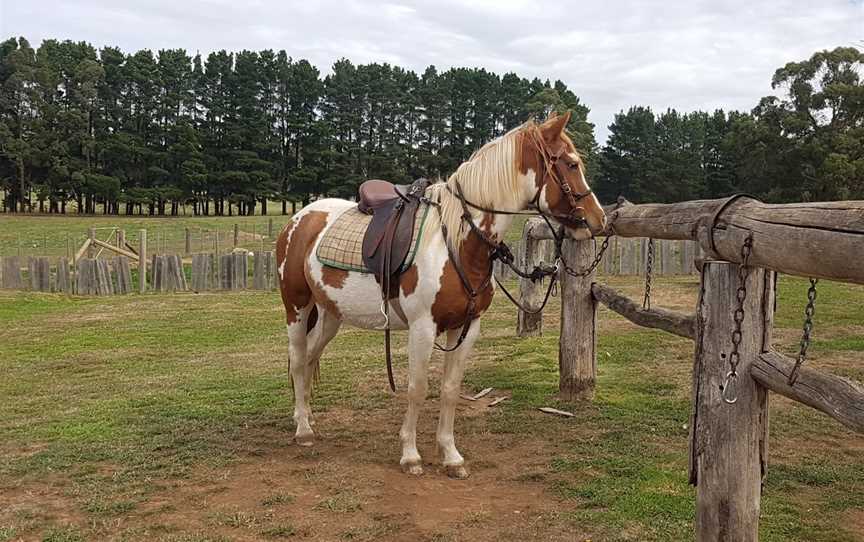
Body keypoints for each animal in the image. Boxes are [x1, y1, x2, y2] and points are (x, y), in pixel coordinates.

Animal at [276, 111, 608, 480]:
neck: (458, 243)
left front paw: (451, 456)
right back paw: (303, 430)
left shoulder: (466, 328)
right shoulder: (423, 328)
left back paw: (306, 416)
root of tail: (300, 217)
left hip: (331, 315)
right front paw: (411, 455)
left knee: (309, 358)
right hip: (297, 308)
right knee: (297, 359)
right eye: (571, 163)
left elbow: (450, 390)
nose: (599, 219)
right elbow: (418, 389)